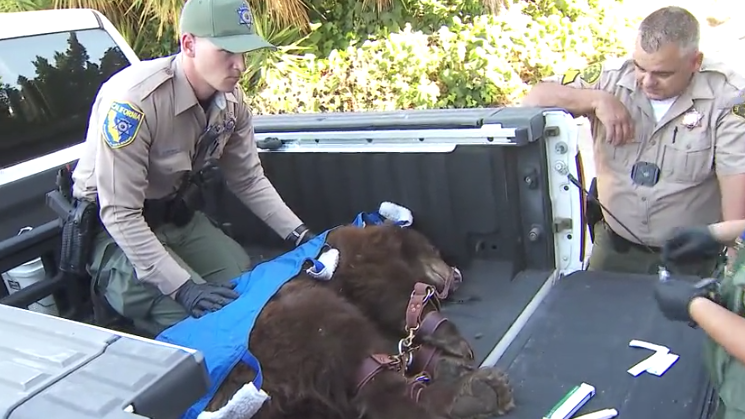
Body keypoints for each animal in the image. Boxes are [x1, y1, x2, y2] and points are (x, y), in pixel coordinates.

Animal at [206, 223, 516, 419]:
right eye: (435, 251)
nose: (457, 273)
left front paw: (442, 356)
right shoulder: (360, 260)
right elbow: (391, 290)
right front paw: (454, 341)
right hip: (282, 326)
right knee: (353, 358)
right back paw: (479, 391)